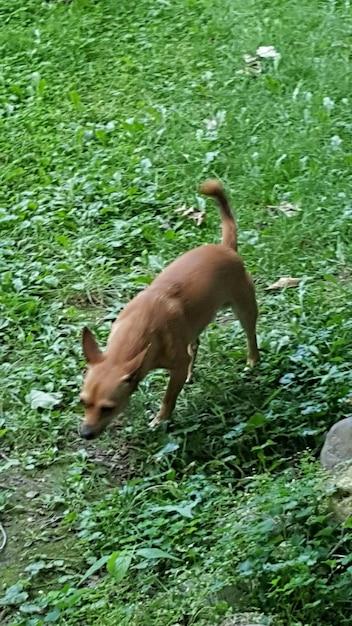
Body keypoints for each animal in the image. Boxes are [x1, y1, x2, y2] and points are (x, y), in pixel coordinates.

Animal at [80, 178, 258, 436]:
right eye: (82, 402)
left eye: (108, 409)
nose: (84, 434)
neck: (138, 332)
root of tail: (226, 247)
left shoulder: (176, 366)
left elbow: (168, 397)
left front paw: (161, 419)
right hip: (194, 325)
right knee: (195, 344)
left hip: (244, 307)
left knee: (250, 334)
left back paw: (253, 361)